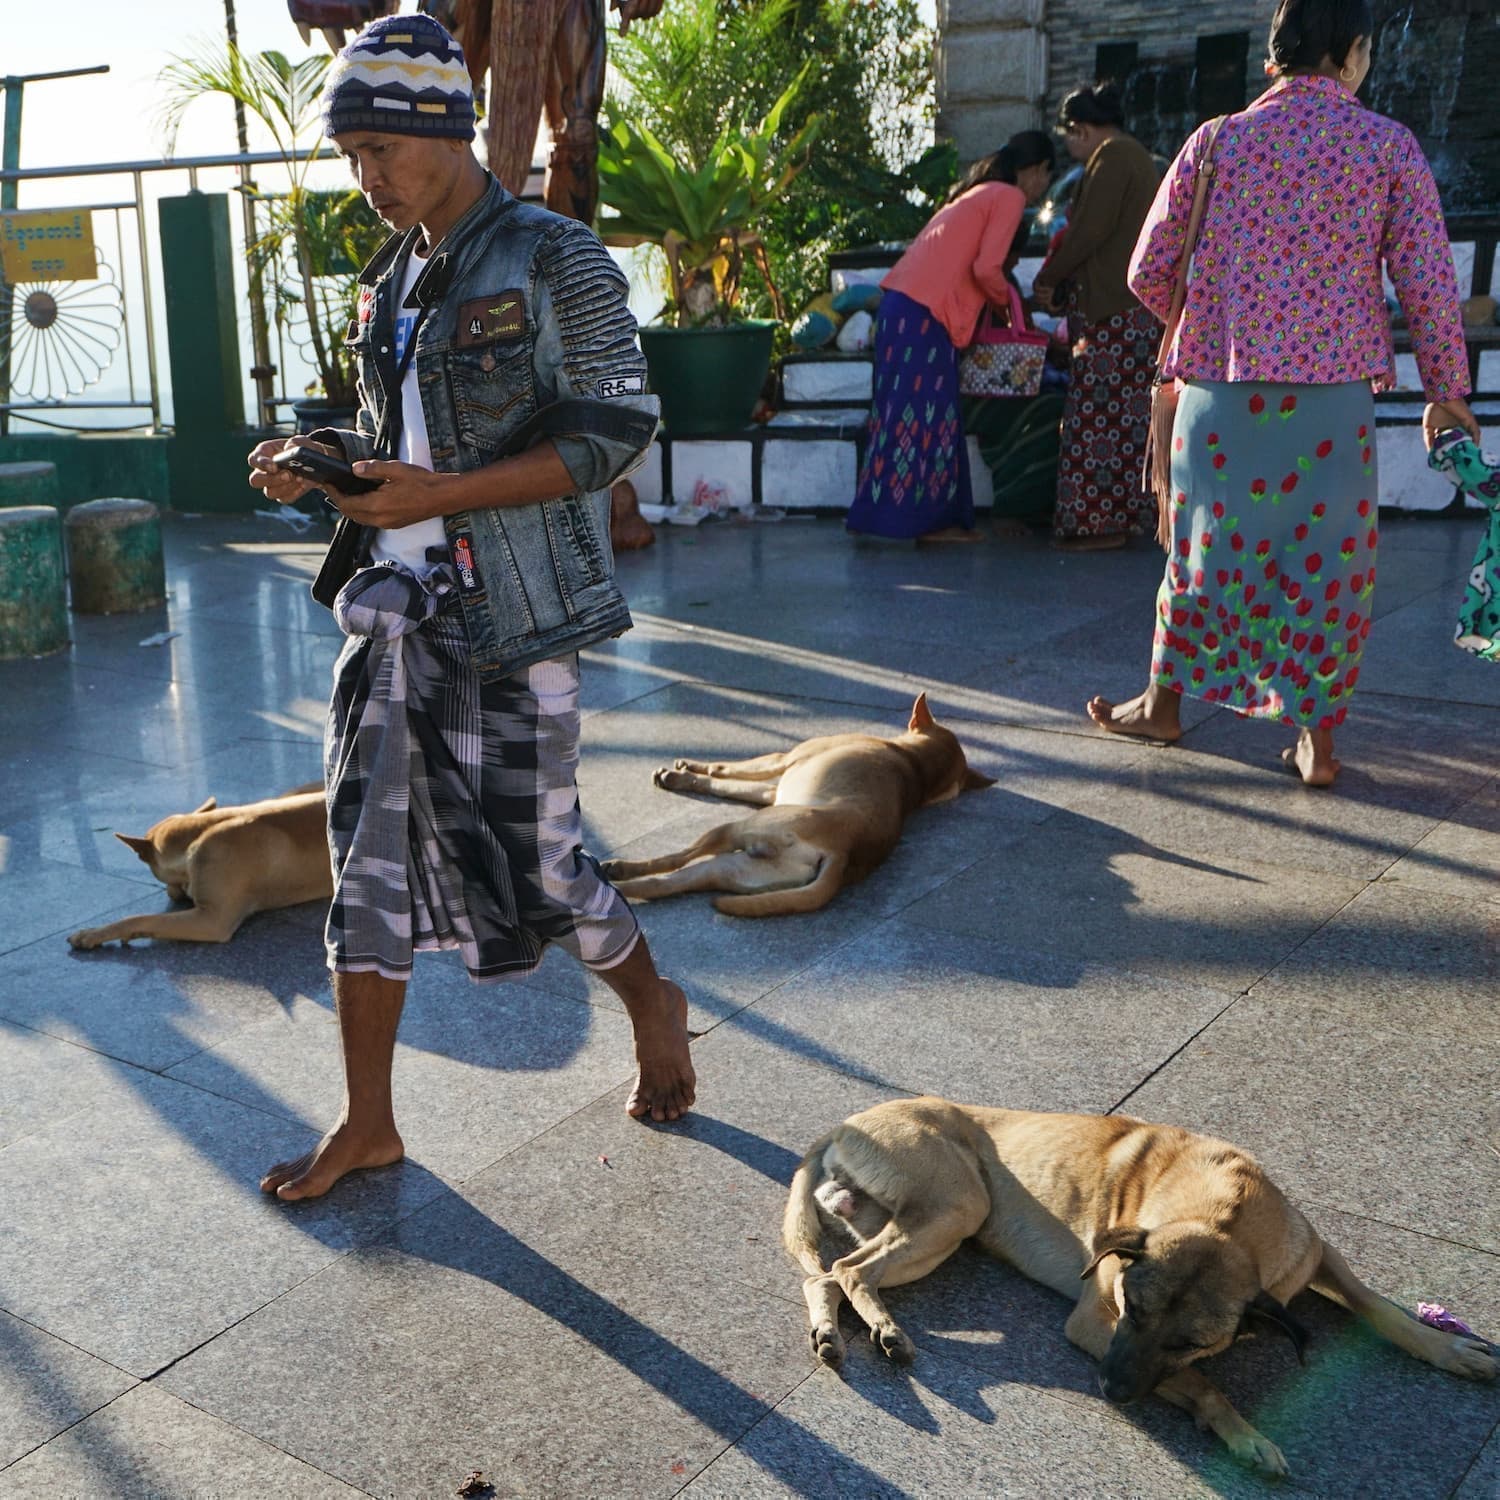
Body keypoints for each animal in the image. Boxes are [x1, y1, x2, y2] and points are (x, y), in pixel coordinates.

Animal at [599, 694, 993, 917]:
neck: (913, 765)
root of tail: (843, 853)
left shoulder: (783, 759)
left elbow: (726, 769)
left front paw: (683, 770)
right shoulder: (772, 789)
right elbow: (727, 783)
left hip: (740, 830)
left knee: (674, 860)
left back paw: (619, 870)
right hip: (734, 869)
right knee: (662, 885)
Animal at [784, 1097, 1495, 1477]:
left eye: (1189, 1341)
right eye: (1131, 1309)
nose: (1110, 1390)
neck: (1225, 1214)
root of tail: (845, 1122)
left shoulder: (1317, 1255)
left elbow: (1378, 1307)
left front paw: (1449, 1347)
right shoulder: (1094, 1323)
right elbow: (1206, 1388)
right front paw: (1243, 1434)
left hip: (926, 1222)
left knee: (828, 1273)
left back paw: (836, 1330)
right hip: (960, 1207)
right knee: (848, 1270)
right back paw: (882, 1329)